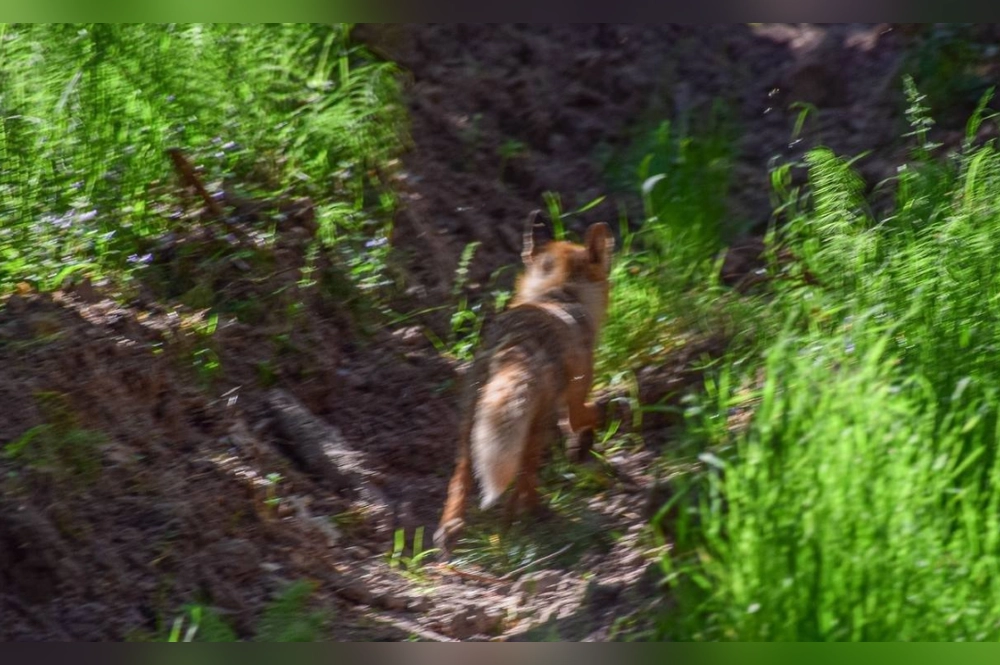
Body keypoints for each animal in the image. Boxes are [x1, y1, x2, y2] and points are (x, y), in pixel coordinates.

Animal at [434, 217, 615, 554]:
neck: (560, 294)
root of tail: (517, 344)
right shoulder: (575, 394)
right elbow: (587, 415)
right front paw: (610, 411)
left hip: (471, 422)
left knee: (461, 476)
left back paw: (453, 528)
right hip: (535, 425)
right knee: (524, 478)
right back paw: (530, 518)